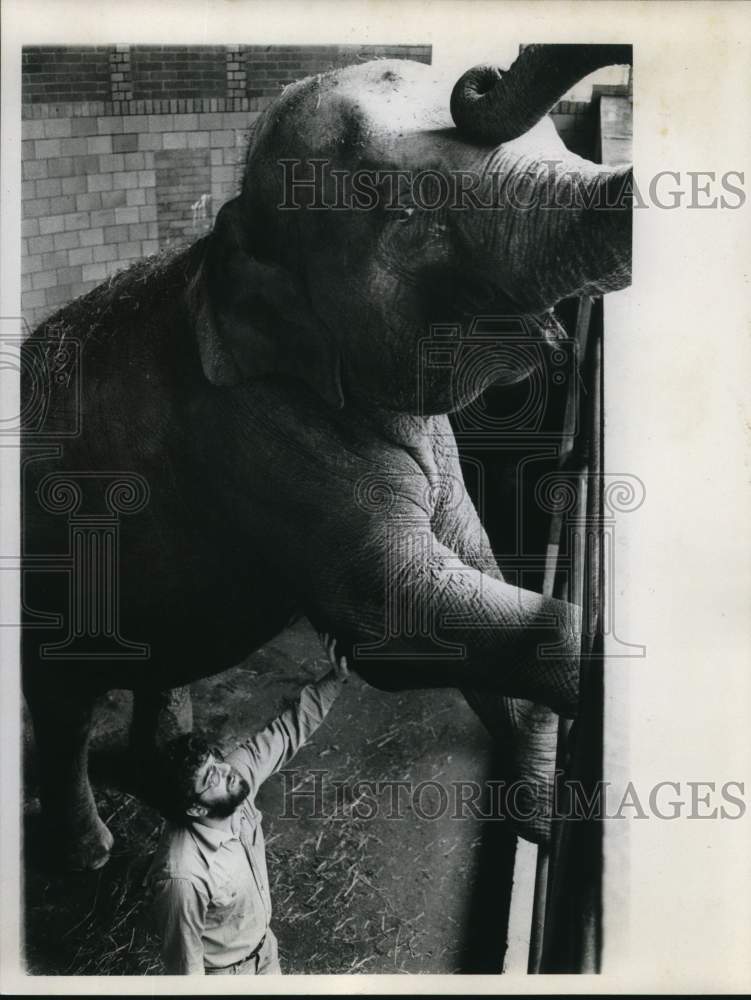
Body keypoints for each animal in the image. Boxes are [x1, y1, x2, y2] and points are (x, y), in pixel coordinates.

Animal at [21, 43, 632, 872]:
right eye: (406, 218)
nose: (478, 76)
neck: (223, 247)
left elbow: (474, 562)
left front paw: (537, 812)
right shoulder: (257, 436)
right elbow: (397, 616)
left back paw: (182, 771)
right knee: (64, 701)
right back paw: (90, 851)